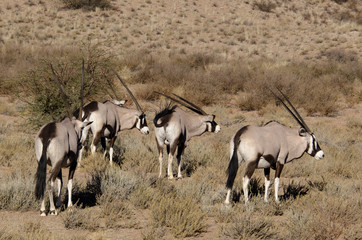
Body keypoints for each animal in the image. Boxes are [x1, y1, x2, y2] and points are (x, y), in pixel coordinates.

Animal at [34, 62, 92, 216]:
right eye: (82, 129)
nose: (80, 144)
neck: (70, 126)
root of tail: (47, 134)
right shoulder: (72, 163)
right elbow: (69, 182)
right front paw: (69, 205)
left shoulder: (59, 165)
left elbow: (60, 182)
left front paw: (59, 203)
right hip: (56, 163)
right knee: (49, 181)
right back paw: (51, 210)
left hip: (43, 162)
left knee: (43, 180)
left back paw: (43, 209)